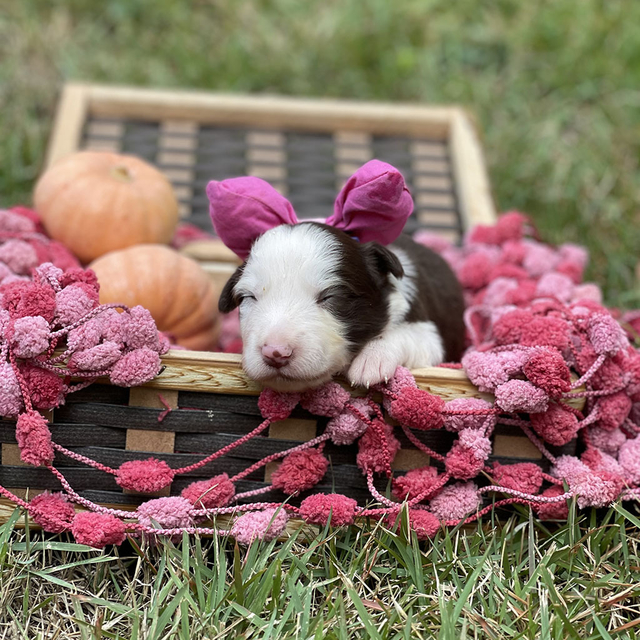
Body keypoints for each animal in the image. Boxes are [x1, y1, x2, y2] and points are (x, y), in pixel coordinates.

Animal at [218, 220, 462, 392]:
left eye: (330, 297)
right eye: (249, 297)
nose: (275, 352)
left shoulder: (430, 336)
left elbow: (407, 335)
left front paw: (372, 360)